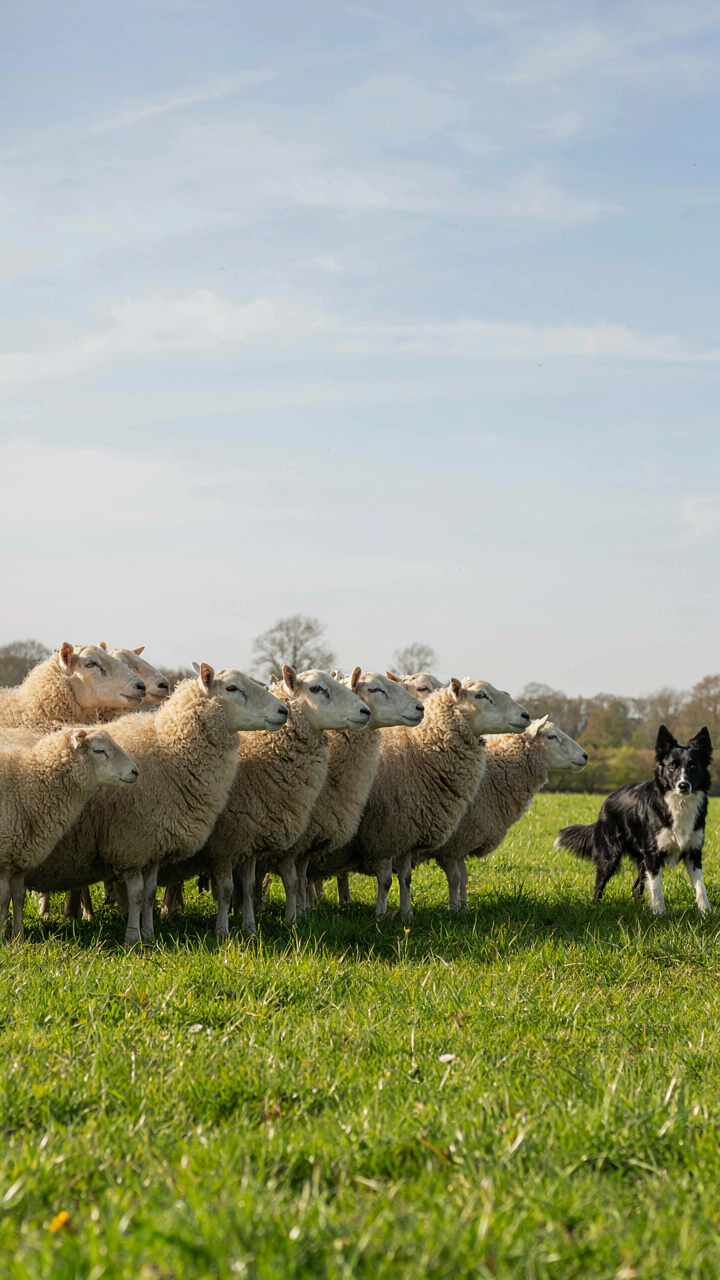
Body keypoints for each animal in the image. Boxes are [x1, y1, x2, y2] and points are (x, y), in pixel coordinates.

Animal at [0, 726, 138, 941]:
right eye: (99, 750)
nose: (135, 771)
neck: (25, 784)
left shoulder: (19, 859)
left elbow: (18, 897)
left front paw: (18, 939)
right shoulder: (4, 858)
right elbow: (4, 900)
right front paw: (3, 938)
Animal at [25, 665, 288, 946]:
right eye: (232, 688)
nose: (283, 711)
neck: (168, 750)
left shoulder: (154, 844)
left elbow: (150, 894)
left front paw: (149, 935)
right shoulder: (129, 844)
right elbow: (136, 895)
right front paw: (132, 938)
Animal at [158, 666, 371, 935]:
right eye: (316, 688)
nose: (365, 711)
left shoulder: (253, 836)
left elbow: (259, 885)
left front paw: (254, 927)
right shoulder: (225, 842)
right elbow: (230, 888)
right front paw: (224, 931)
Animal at [337, 679, 531, 921]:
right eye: (480, 695)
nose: (525, 715)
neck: (418, 748)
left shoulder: (407, 832)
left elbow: (406, 878)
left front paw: (406, 914)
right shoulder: (386, 831)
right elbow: (387, 879)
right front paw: (383, 914)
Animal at [433, 717, 588, 910]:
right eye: (551, 736)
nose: (585, 756)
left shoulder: (460, 842)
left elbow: (463, 878)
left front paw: (465, 909)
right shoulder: (451, 844)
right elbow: (455, 879)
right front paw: (453, 910)